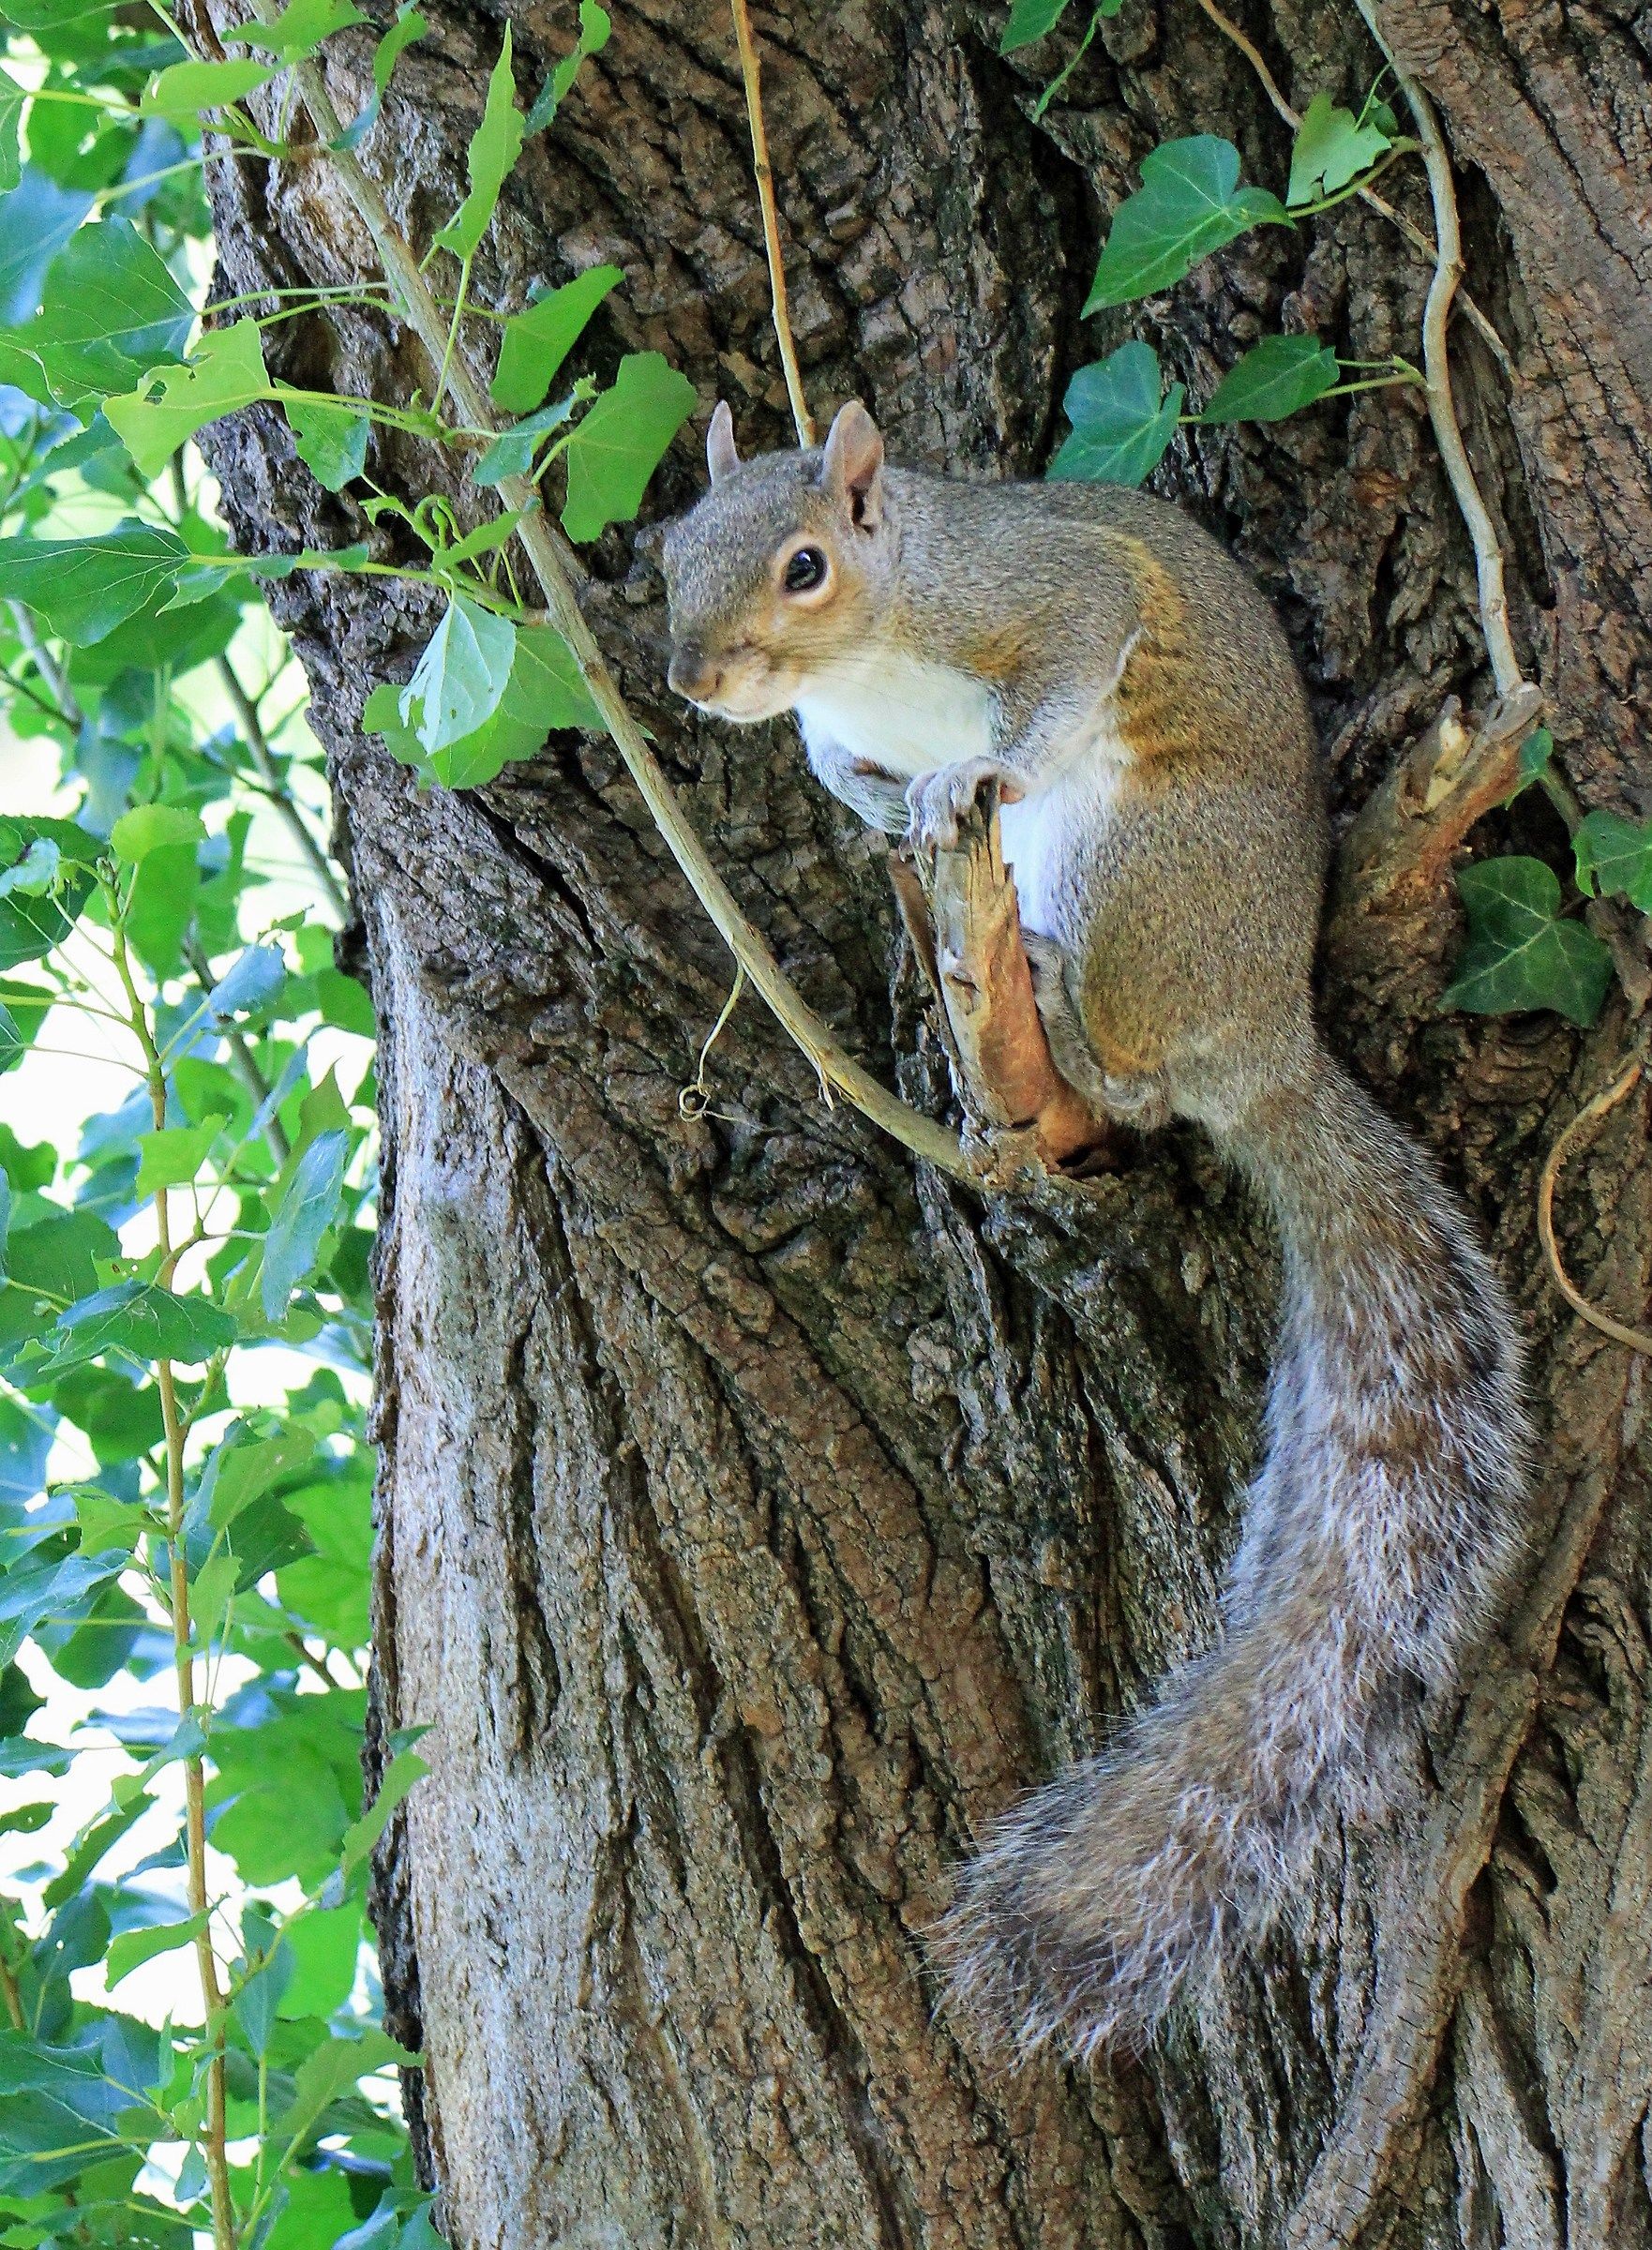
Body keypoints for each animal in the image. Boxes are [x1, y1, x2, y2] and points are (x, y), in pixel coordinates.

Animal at [659, 398, 1532, 2062]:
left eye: (803, 565)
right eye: (668, 550)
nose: (690, 679)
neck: (877, 640)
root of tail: (1266, 1039)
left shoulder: (1044, 598)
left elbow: (1063, 657)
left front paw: (956, 781)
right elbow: (838, 761)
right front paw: (871, 799)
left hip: (1134, 867)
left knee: (1133, 1067)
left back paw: (1061, 1005)